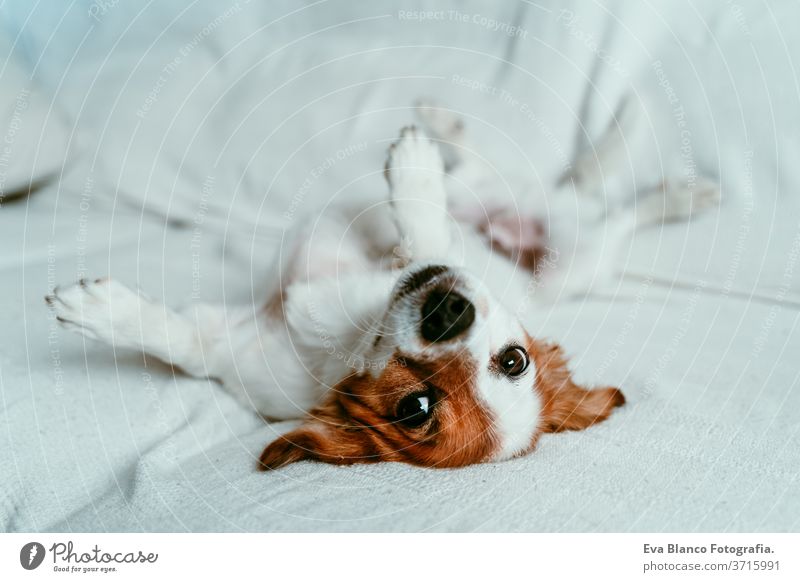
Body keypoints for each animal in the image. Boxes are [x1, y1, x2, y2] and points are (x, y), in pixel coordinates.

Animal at [45, 102, 720, 472]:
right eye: (515, 360)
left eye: (414, 410)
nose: (449, 312)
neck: (354, 325)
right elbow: (178, 338)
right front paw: (107, 313)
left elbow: (424, 238)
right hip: (514, 203)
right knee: (499, 170)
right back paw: (440, 124)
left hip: (580, 257)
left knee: (619, 214)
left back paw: (680, 197)